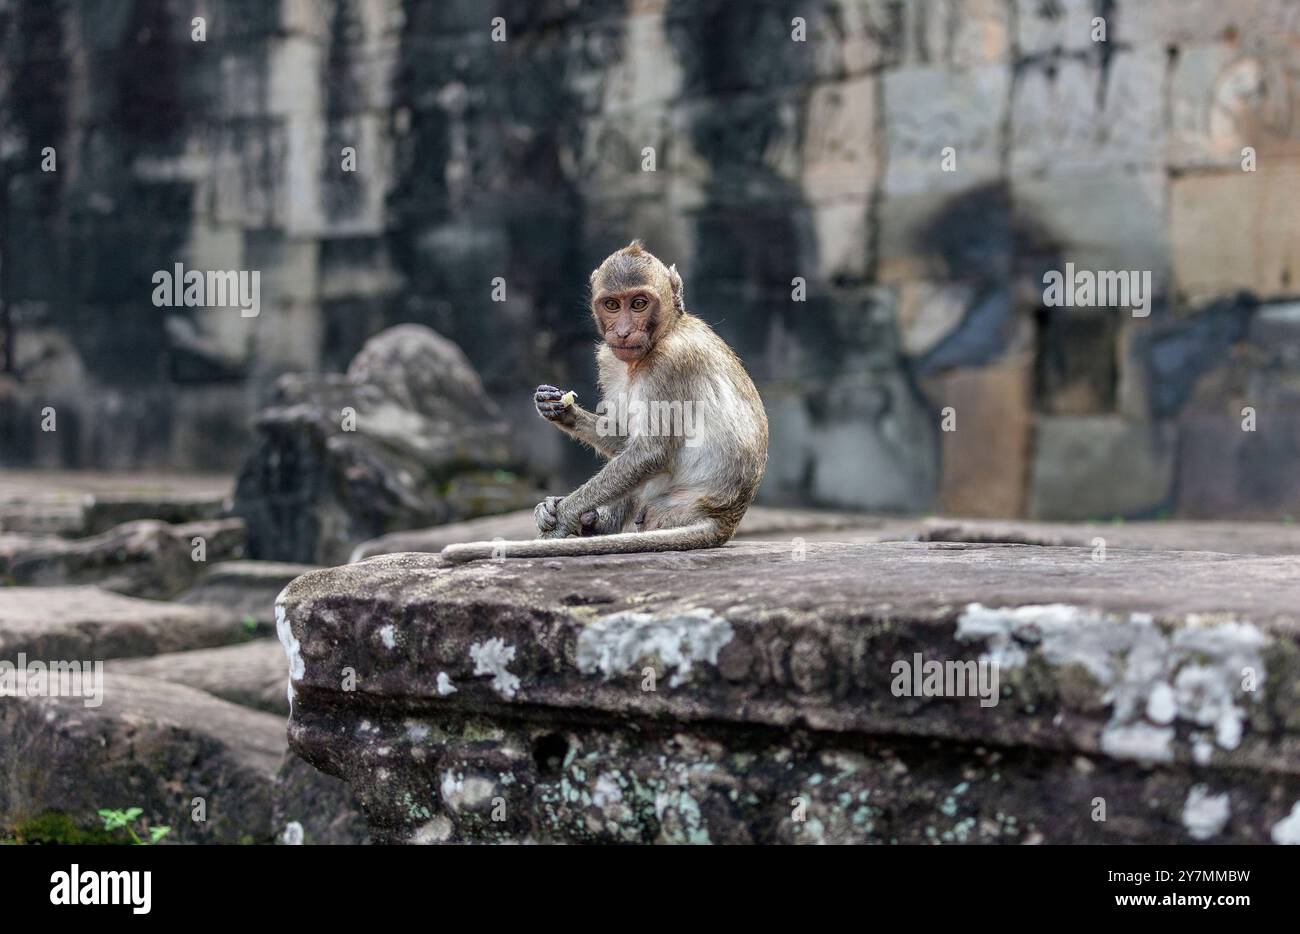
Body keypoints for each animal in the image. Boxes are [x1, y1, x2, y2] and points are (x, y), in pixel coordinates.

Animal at [441, 240, 768, 562]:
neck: (660, 339)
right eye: (612, 305)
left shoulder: (673, 362)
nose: (622, 332)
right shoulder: (609, 359)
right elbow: (626, 440)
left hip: (671, 513)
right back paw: (595, 524)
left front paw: (563, 517)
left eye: (639, 303)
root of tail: (725, 520)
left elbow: (650, 452)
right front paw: (562, 411)